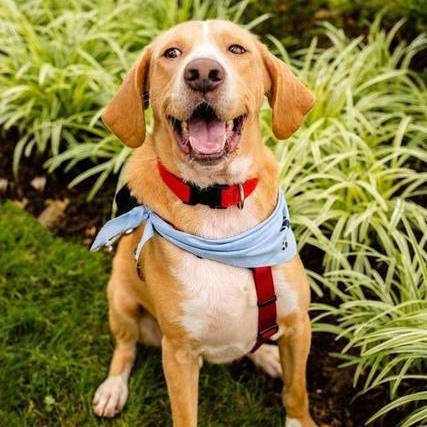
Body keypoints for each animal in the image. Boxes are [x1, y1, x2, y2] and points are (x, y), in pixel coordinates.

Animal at [92, 19, 316, 427]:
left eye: (237, 49)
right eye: (172, 53)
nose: (203, 74)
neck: (218, 202)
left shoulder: (298, 326)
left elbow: (297, 392)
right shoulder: (179, 353)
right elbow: (184, 414)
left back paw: (265, 354)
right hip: (121, 300)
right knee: (125, 347)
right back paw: (113, 388)